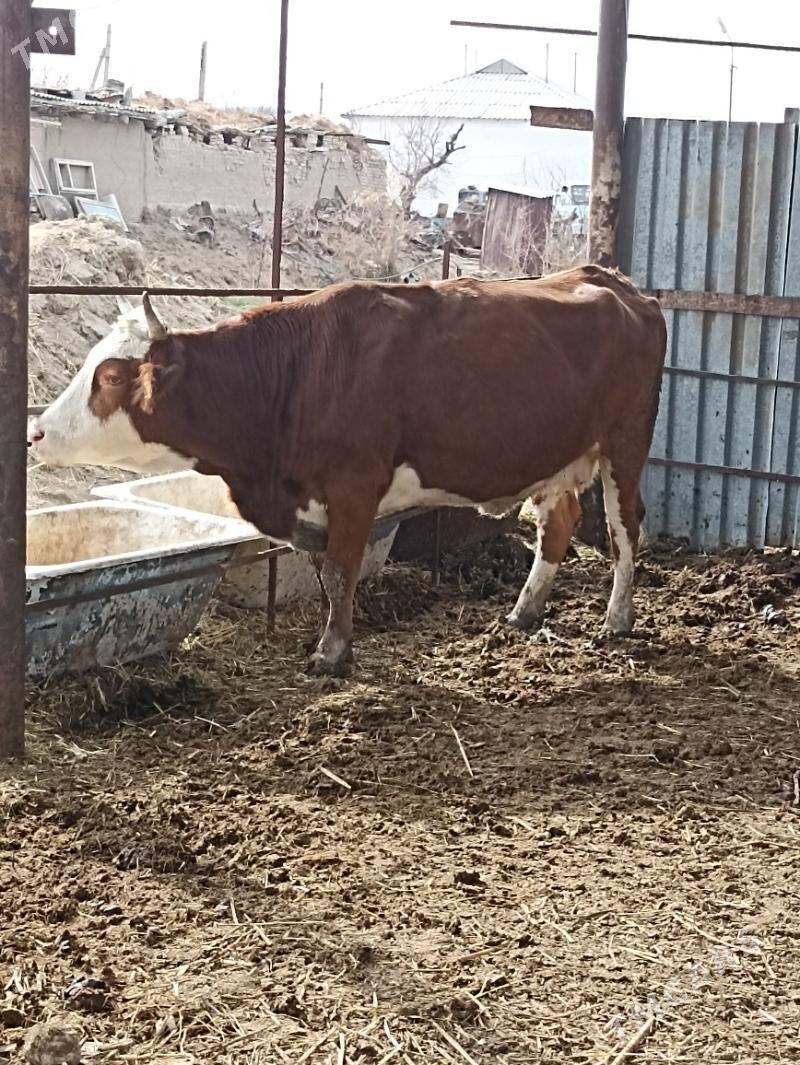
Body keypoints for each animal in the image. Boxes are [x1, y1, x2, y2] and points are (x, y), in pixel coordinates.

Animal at [28, 266, 667, 676]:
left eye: (111, 376)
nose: (36, 433)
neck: (292, 374)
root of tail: (614, 280)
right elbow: (323, 573)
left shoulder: (354, 485)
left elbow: (340, 572)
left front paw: (332, 654)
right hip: (556, 455)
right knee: (558, 524)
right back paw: (523, 612)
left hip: (625, 444)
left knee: (624, 529)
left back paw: (617, 619)